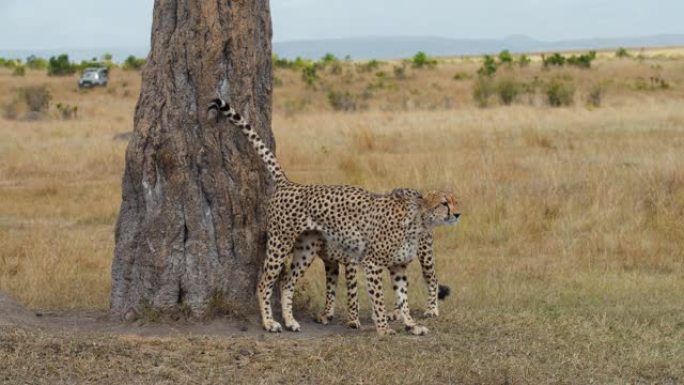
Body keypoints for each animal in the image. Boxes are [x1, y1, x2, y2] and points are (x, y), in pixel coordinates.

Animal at [208, 97, 460, 334]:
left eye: (456, 201)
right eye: (444, 203)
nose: (458, 214)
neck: (418, 222)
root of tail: (290, 184)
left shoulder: (397, 267)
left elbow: (402, 298)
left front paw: (410, 324)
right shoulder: (371, 263)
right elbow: (376, 299)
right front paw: (383, 329)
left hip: (306, 249)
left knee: (287, 283)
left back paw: (290, 321)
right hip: (280, 243)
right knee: (264, 284)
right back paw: (270, 323)